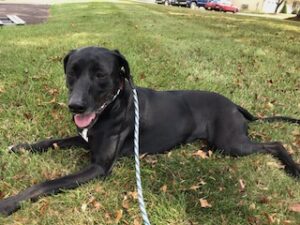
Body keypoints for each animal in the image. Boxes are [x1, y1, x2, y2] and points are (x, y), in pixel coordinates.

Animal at [0, 46, 300, 215]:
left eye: (100, 74)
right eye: (72, 71)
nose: (75, 106)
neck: (112, 106)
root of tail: (233, 105)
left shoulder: (98, 168)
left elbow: (46, 183)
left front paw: (11, 202)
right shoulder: (84, 139)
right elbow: (51, 141)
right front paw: (22, 146)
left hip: (231, 143)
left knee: (275, 143)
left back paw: (293, 169)